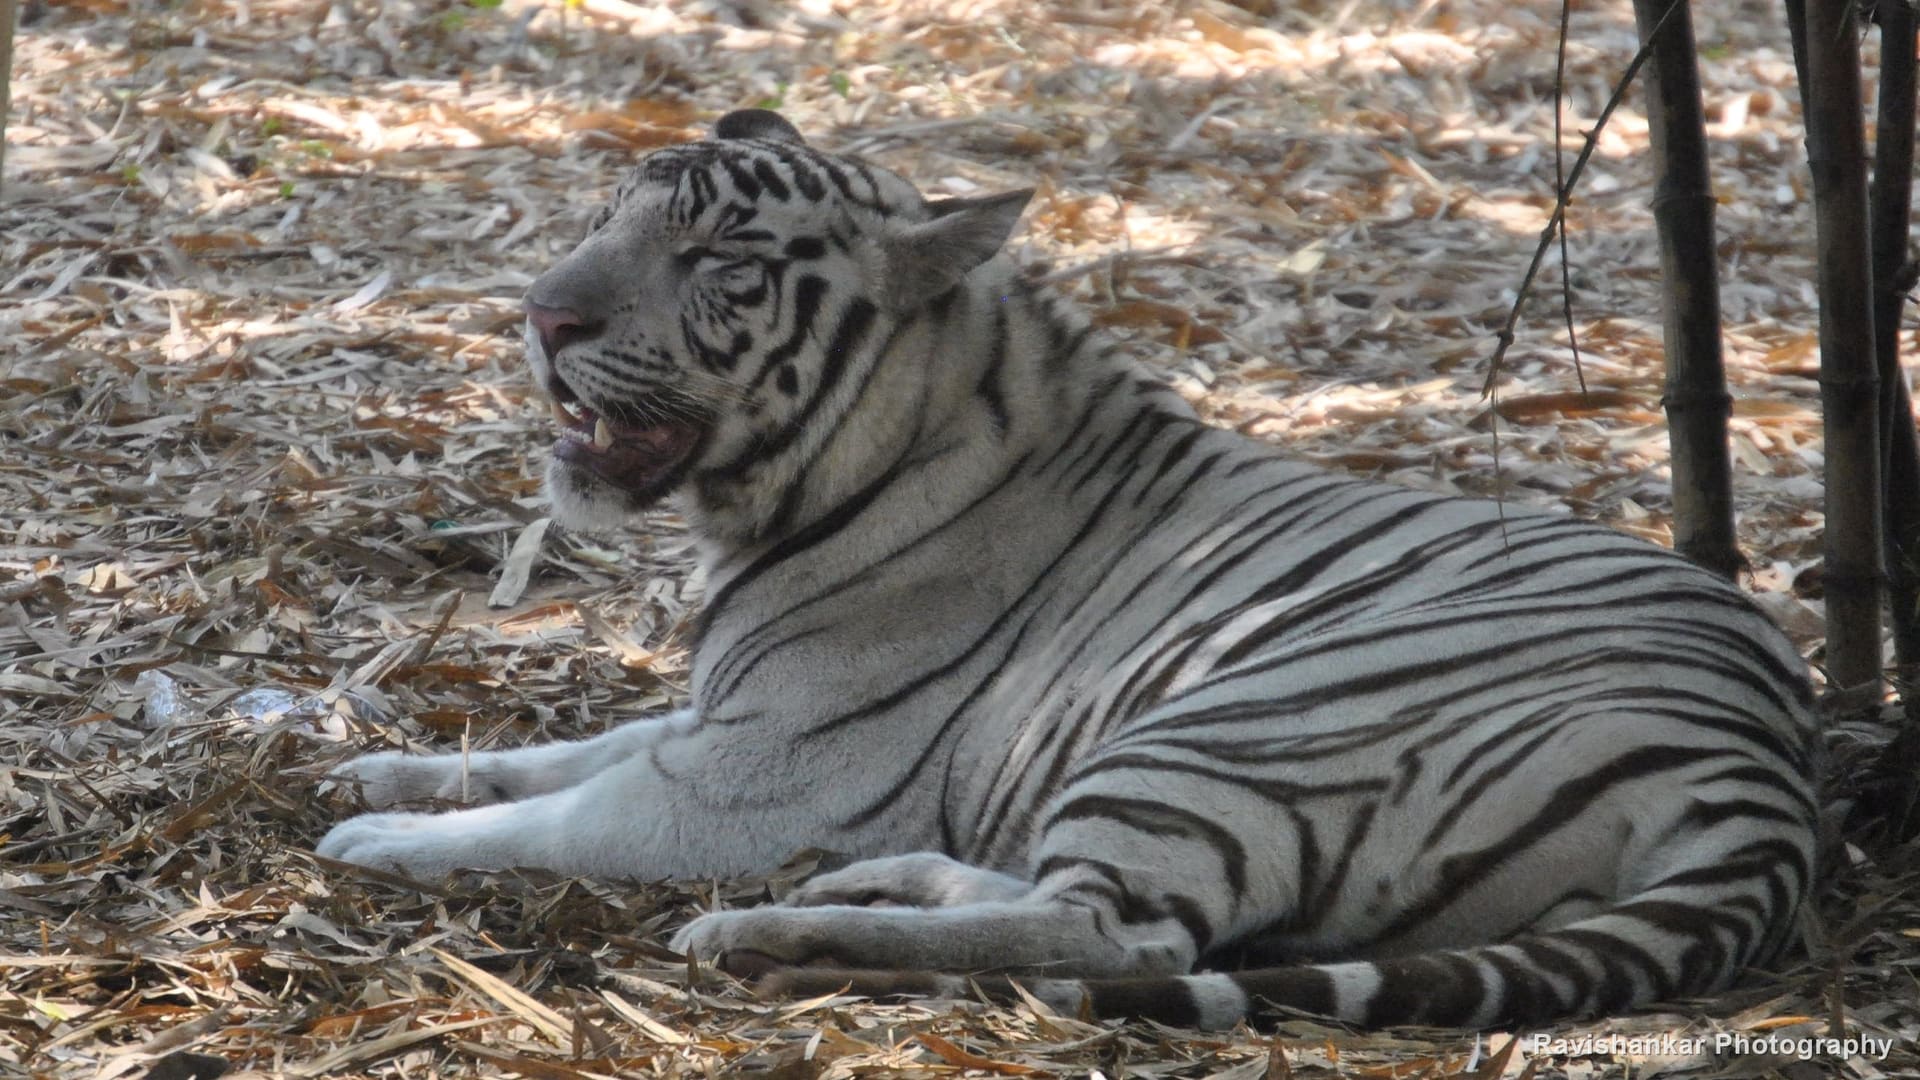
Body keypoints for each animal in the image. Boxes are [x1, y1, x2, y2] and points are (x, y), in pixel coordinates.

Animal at [316, 108, 1819, 1030]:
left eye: (718, 257)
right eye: (609, 212)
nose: (542, 317)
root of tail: (1767, 785)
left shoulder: (750, 778)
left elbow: (552, 816)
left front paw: (376, 842)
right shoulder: (712, 720)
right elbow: (554, 753)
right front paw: (380, 769)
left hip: (1232, 723)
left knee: (1125, 938)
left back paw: (785, 935)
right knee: (1079, 905)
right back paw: (879, 885)